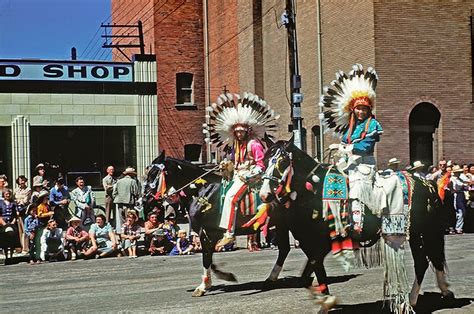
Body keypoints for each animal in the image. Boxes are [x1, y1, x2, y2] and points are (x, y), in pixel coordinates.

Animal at [260, 140, 452, 312]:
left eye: (282, 162)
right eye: (264, 161)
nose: (264, 195)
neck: (313, 191)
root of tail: (427, 183)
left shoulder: (323, 243)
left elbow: (313, 268)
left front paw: (327, 301)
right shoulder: (309, 242)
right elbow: (307, 275)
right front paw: (324, 301)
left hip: (420, 232)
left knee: (423, 262)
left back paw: (410, 301)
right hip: (419, 233)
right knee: (431, 259)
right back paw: (443, 292)